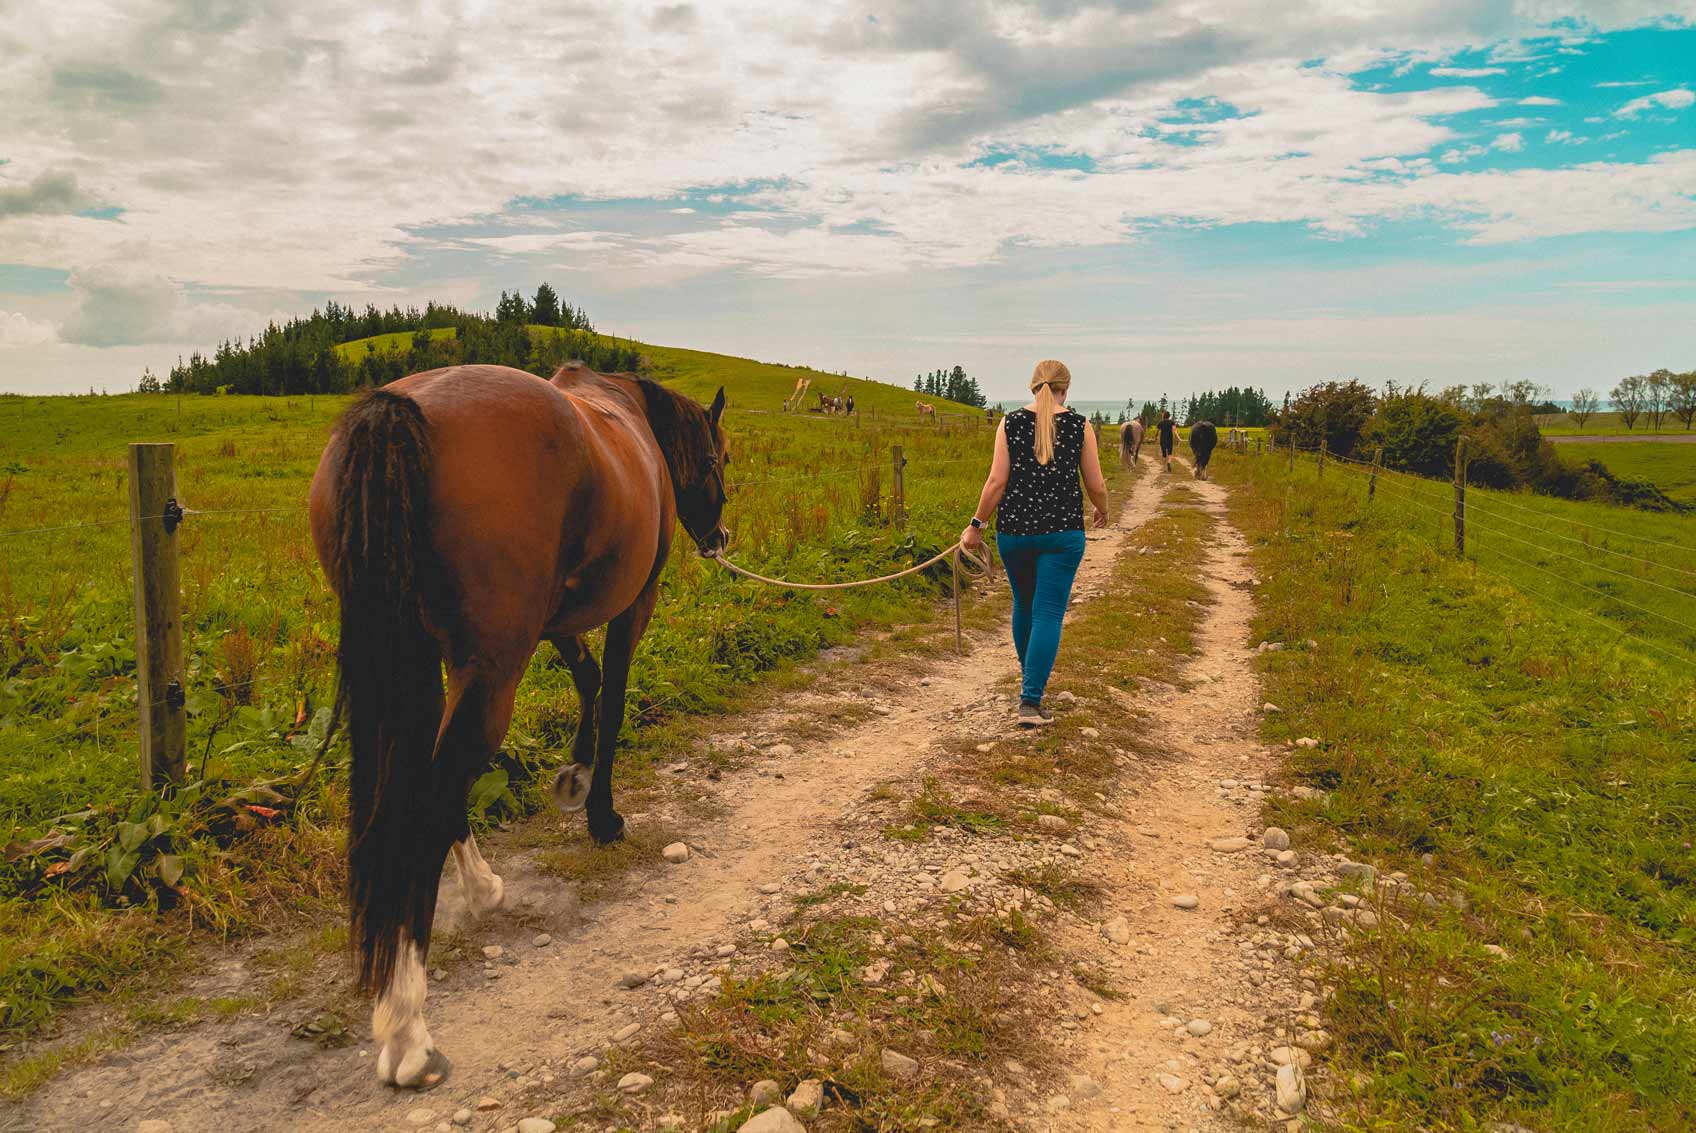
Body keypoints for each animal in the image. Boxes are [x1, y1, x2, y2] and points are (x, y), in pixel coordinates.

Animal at [308, 362, 725, 1085]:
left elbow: (587, 678)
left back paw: (481, 887)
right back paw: (407, 1030)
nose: (719, 539)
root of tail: (400, 410)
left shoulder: (555, 622)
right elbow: (614, 694)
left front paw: (573, 775)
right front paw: (602, 813)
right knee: (429, 800)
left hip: (437, 660)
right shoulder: (633, 603)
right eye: (719, 458)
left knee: (430, 788)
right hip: (493, 669)